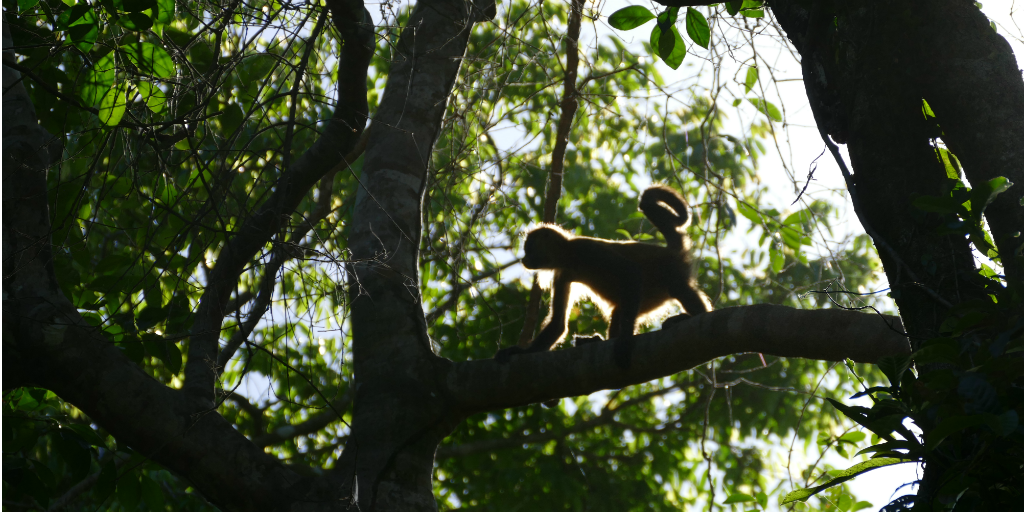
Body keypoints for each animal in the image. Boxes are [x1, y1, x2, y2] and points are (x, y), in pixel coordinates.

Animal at [495, 184, 712, 368]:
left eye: (529, 249)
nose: (523, 259)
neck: (570, 256)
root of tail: (670, 250)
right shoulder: (563, 274)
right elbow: (558, 324)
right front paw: (519, 352)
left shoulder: (586, 249)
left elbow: (630, 270)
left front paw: (624, 340)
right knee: (619, 312)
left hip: (672, 270)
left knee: (677, 288)